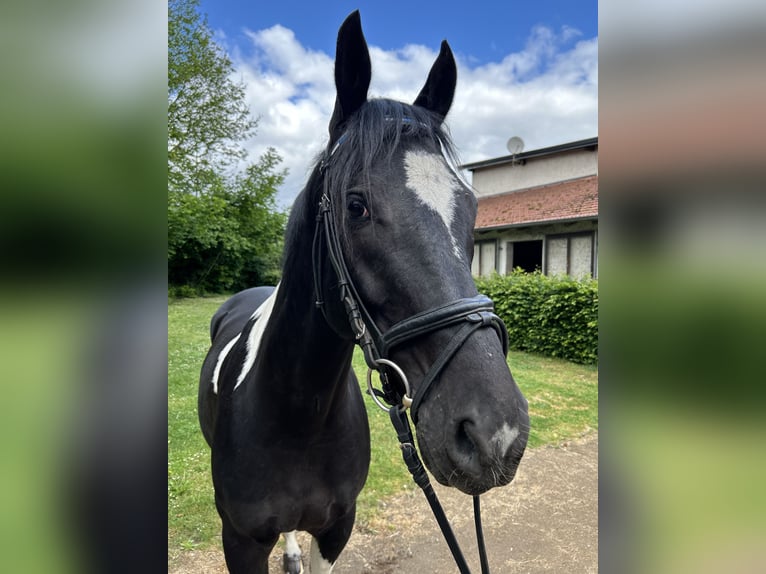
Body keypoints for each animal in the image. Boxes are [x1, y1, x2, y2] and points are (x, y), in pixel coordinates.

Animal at [198, 11, 529, 573]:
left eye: (471, 206)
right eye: (356, 206)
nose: (495, 435)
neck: (298, 416)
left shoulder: (337, 529)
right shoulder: (239, 542)